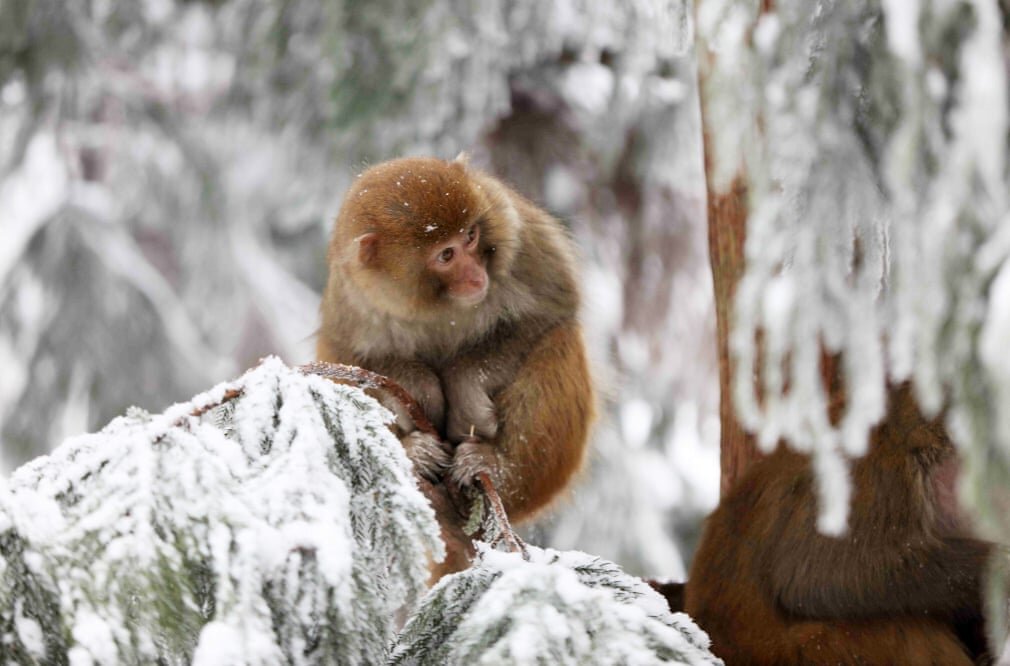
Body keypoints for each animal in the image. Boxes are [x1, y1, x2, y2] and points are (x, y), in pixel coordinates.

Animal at [319, 154, 593, 574]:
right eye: (446, 255)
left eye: (471, 237)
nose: (476, 275)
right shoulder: (351, 300)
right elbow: (351, 362)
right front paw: (422, 392)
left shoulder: (523, 241)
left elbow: (552, 309)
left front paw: (463, 390)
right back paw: (415, 455)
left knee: (558, 342)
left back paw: (498, 468)